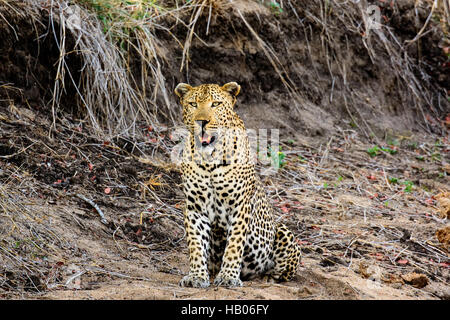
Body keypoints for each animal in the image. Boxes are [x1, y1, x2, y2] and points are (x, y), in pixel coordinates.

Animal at [174, 80, 300, 288]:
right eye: (193, 104)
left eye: (216, 104)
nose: (202, 121)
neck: (210, 159)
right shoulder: (195, 207)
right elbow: (196, 244)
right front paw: (197, 276)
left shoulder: (240, 205)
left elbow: (234, 244)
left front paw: (228, 276)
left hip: (283, 233)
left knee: (279, 272)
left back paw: (265, 277)